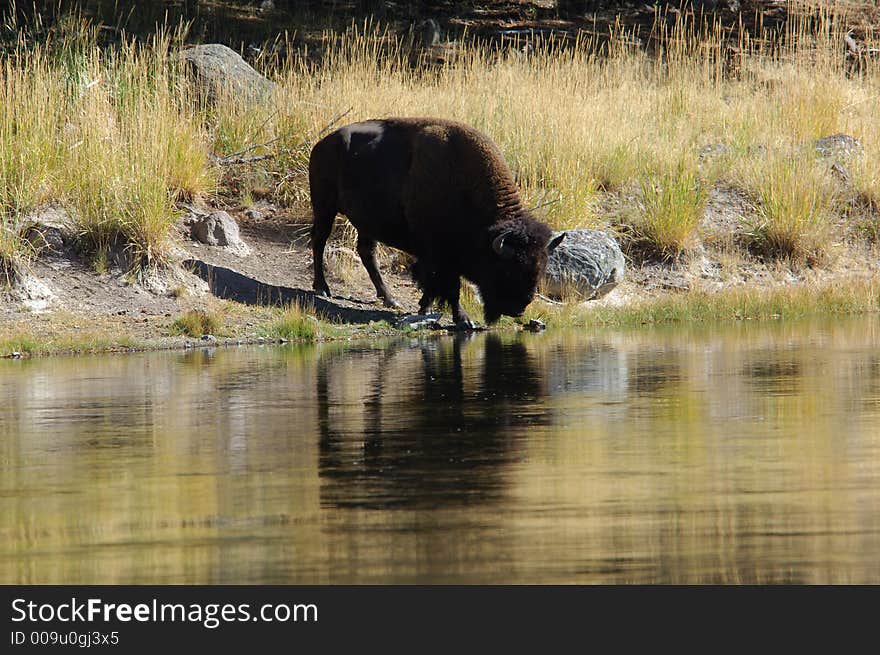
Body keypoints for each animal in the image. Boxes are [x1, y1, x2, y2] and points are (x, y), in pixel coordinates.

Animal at [310, 116, 564, 326]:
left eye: (540, 270)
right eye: (507, 270)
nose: (517, 309)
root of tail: (322, 144)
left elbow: (434, 287)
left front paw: (424, 308)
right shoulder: (440, 256)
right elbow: (450, 288)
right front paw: (464, 320)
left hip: (366, 222)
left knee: (367, 252)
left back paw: (390, 299)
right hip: (324, 208)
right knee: (319, 241)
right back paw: (322, 289)